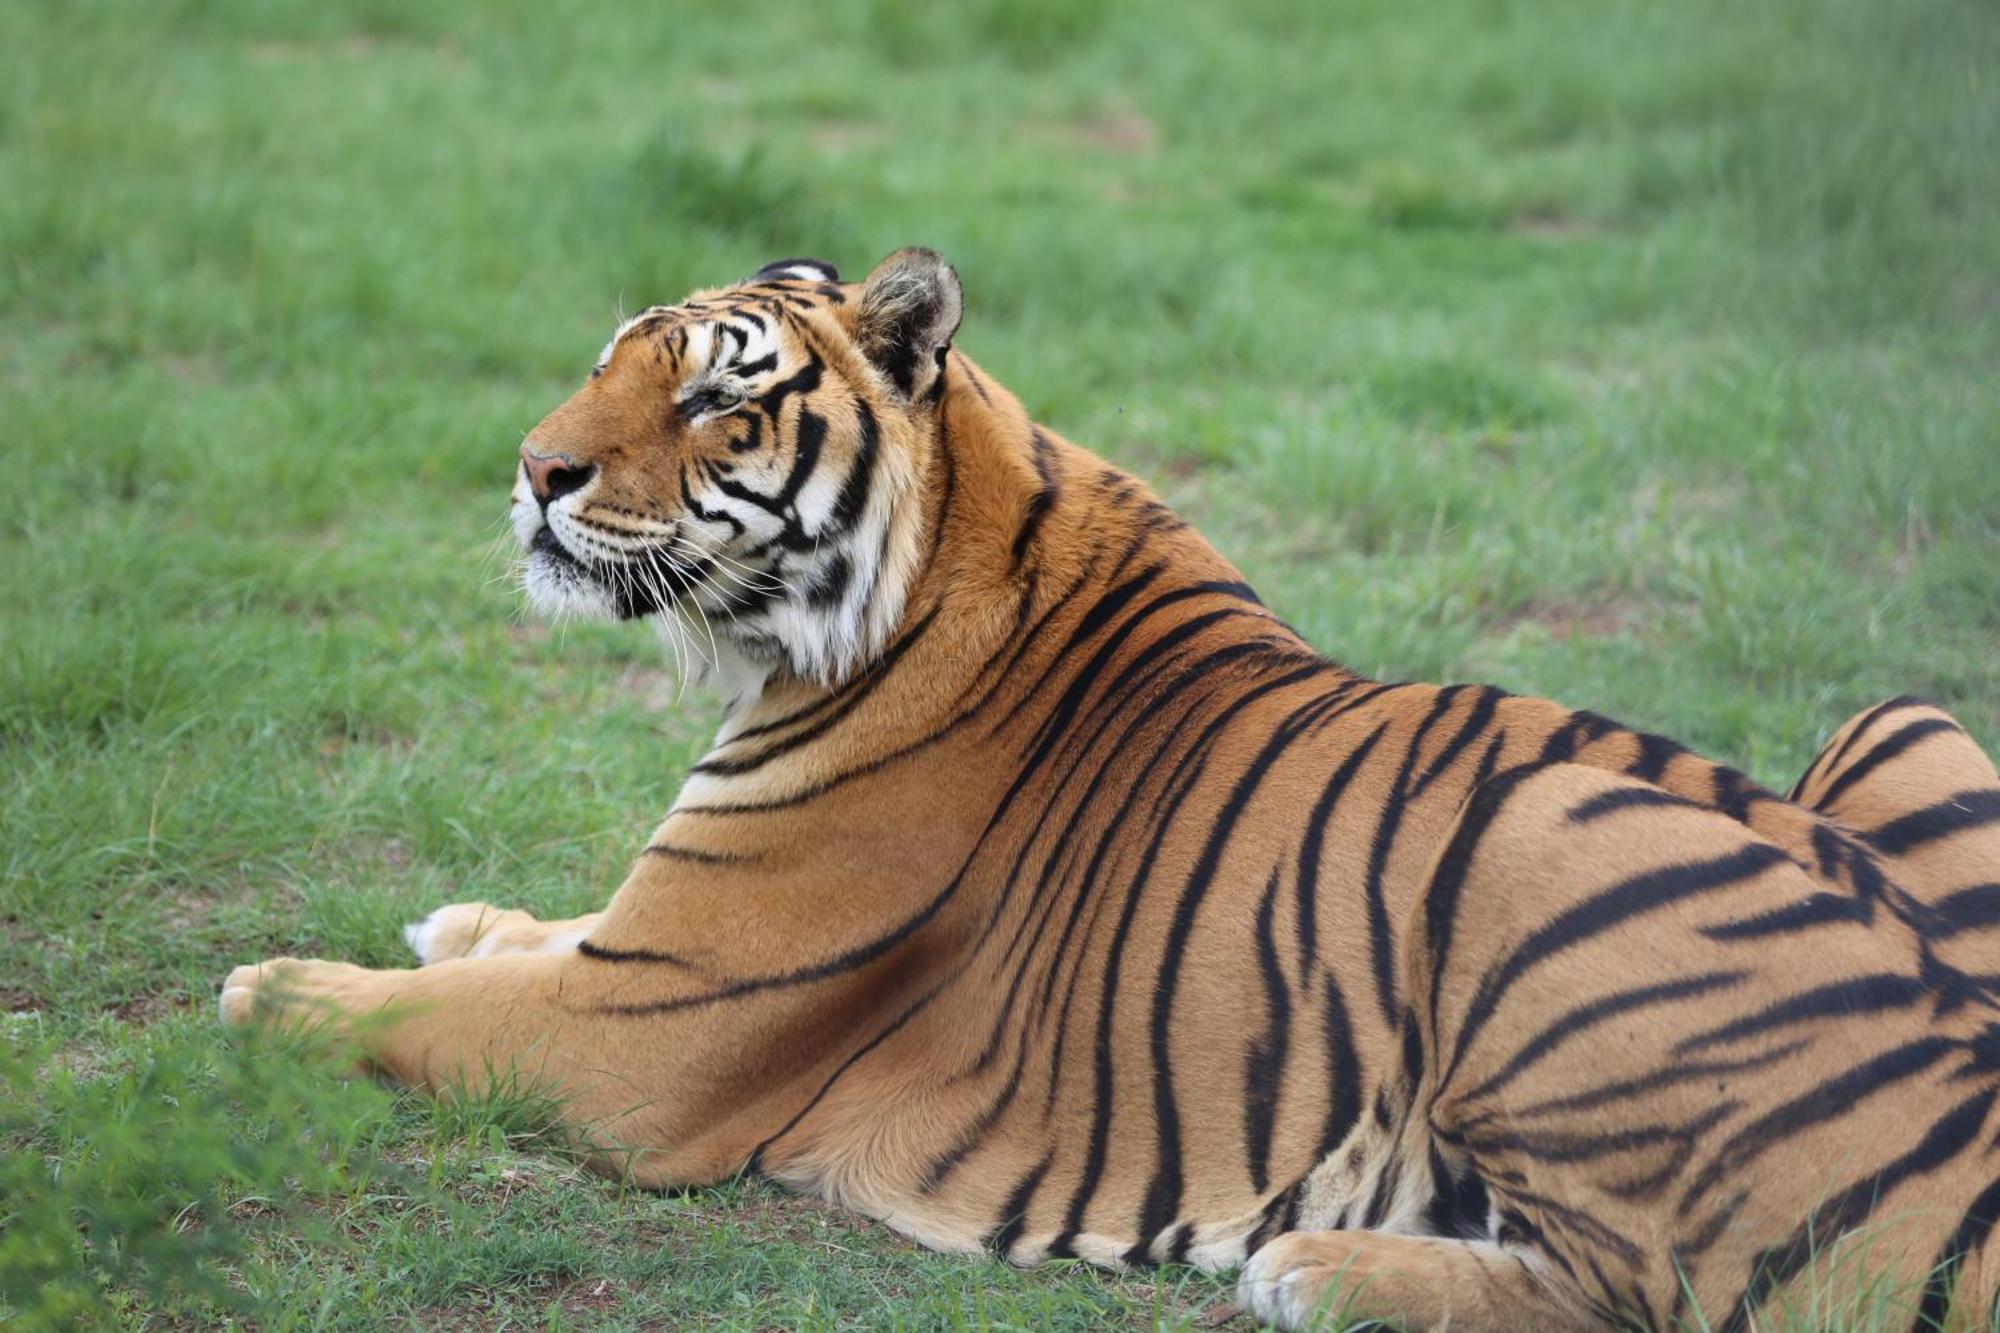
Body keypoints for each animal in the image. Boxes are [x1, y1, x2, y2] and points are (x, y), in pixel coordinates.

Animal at [219, 246, 2000, 1320]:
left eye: (718, 394)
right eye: (609, 363)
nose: (536, 471)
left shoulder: (639, 1033)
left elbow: (404, 1012)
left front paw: (270, 986)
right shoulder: (636, 953)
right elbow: (518, 935)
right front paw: (462, 916)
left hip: (1551, 838)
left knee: (1653, 1295)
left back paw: (1314, 1268)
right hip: (1906, 721)